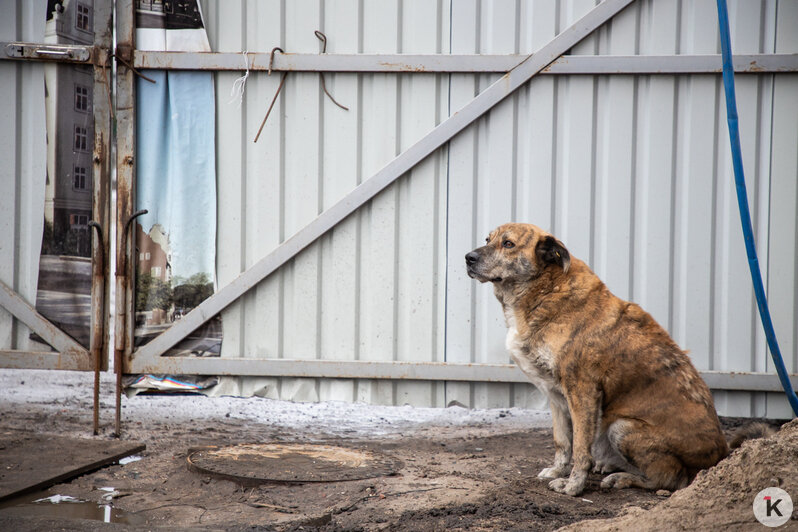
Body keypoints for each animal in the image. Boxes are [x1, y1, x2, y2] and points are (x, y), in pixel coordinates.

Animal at [462, 222, 732, 496]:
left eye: (508, 244)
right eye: (487, 239)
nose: (468, 258)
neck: (547, 289)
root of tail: (721, 454)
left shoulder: (583, 392)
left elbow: (581, 448)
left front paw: (573, 486)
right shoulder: (555, 395)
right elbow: (562, 442)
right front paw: (558, 471)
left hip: (621, 428)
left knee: (669, 478)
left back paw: (622, 478)